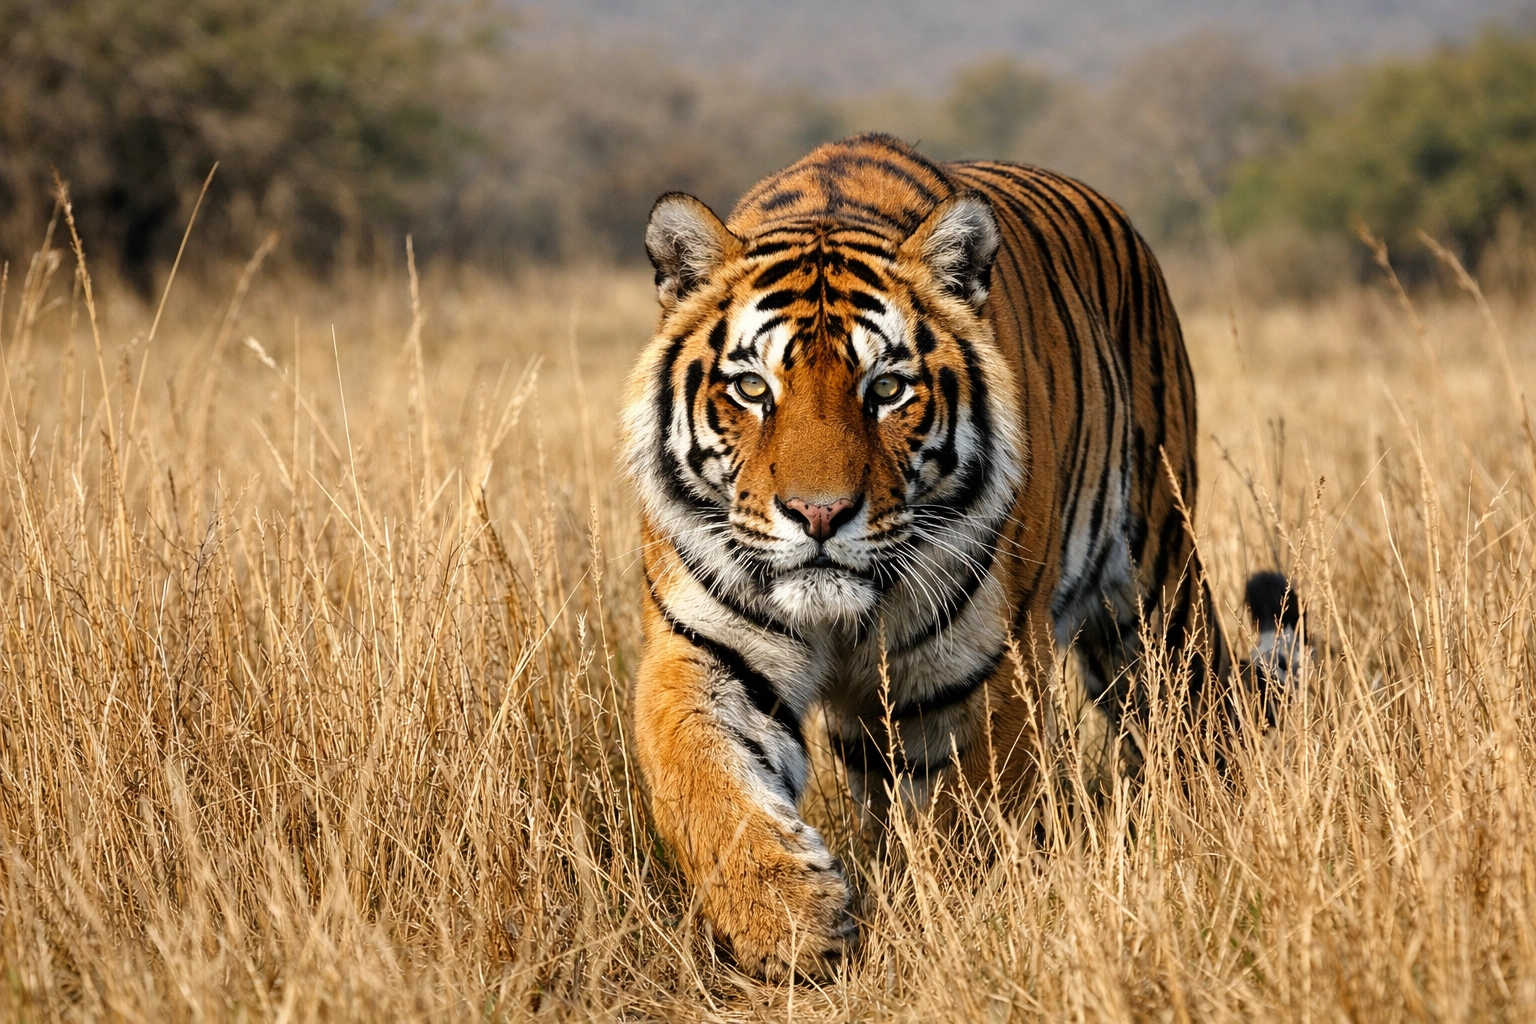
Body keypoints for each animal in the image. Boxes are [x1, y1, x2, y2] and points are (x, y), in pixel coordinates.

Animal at [620, 133, 1300, 979]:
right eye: (751, 388)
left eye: (887, 390)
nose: (819, 515)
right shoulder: (706, 642)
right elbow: (701, 780)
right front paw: (787, 919)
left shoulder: (986, 667)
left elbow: (970, 826)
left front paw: (950, 926)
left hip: (1157, 597)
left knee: (1196, 724)